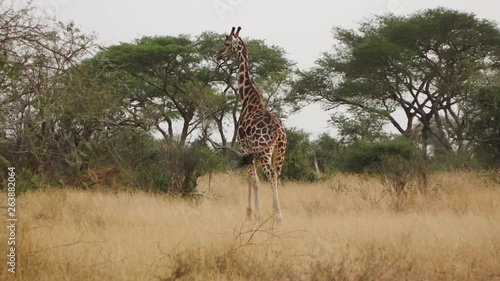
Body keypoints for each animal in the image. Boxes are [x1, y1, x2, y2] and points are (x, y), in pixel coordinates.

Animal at [217, 26, 288, 220]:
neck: (247, 98)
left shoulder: (245, 145)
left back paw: (278, 217)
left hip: (265, 151)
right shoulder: (251, 150)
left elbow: (253, 178)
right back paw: (274, 216)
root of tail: (279, 132)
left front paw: (254, 213)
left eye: (227, 43)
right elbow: (252, 177)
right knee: (277, 176)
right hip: (280, 151)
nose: (218, 55)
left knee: (270, 176)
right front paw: (252, 212)